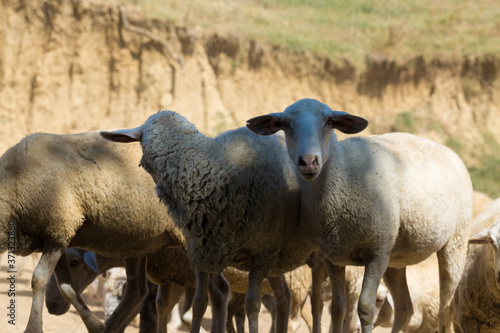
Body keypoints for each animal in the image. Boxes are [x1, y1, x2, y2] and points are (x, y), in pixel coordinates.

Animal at [0, 132, 192, 332]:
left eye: (75, 262)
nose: (52, 307)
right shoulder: (59, 236)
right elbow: (66, 287)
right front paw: (95, 325)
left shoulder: (58, 229)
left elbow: (39, 279)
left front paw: (33, 328)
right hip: (139, 243)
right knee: (137, 290)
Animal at [99, 109, 314, 332]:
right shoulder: (202, 253)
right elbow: (199, 303)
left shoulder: (260, 253)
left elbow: (252, 305)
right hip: (277, 259)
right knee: (284, 298)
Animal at [248, 97, 474, 330]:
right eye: (285, 124)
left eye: (329, 121)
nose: (309, 161)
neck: (342, 176)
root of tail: (448, 150)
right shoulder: (333, 257)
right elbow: (338, 308)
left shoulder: (376, 253)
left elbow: (365, 309)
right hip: (395, 257)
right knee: (405, 307)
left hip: (454, 243)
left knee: (445, 307)